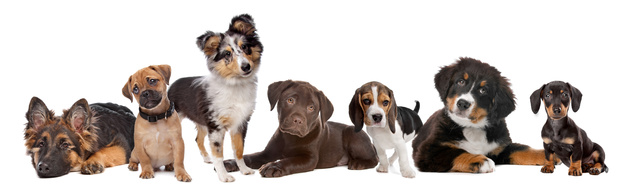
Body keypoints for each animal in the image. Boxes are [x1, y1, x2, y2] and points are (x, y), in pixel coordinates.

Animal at [167, 13, 262, 182]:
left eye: (245, 47)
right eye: (227, 54)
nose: (246, 67)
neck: (235, 85)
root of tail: (173, 84)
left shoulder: (240, 123)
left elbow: (239, 150)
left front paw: (244, 170)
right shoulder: (216, 126)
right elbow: (219, 154)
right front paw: (223, 176)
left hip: (201, 122)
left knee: (198, 139)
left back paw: (206, 158)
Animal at [224, 80, 380, 178]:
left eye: (311, 108)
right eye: (290, 100)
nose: (298, 120)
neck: (290, 137)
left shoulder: (308, 158)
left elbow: (289, 161)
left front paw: (273, 167)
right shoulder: (266, 154)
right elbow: (248, 157)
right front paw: (231, 162)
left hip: (352, 133)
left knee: (374, 158)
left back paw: (358, 163)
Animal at [414, 57, 552, 173]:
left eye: (483, 90)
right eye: (460, 81)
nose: (462, 103)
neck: (472, 127)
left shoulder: (501, 147)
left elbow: (522, 149)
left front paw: (547, 155)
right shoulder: (428, 151)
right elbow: (457, 152)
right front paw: (479, 160)